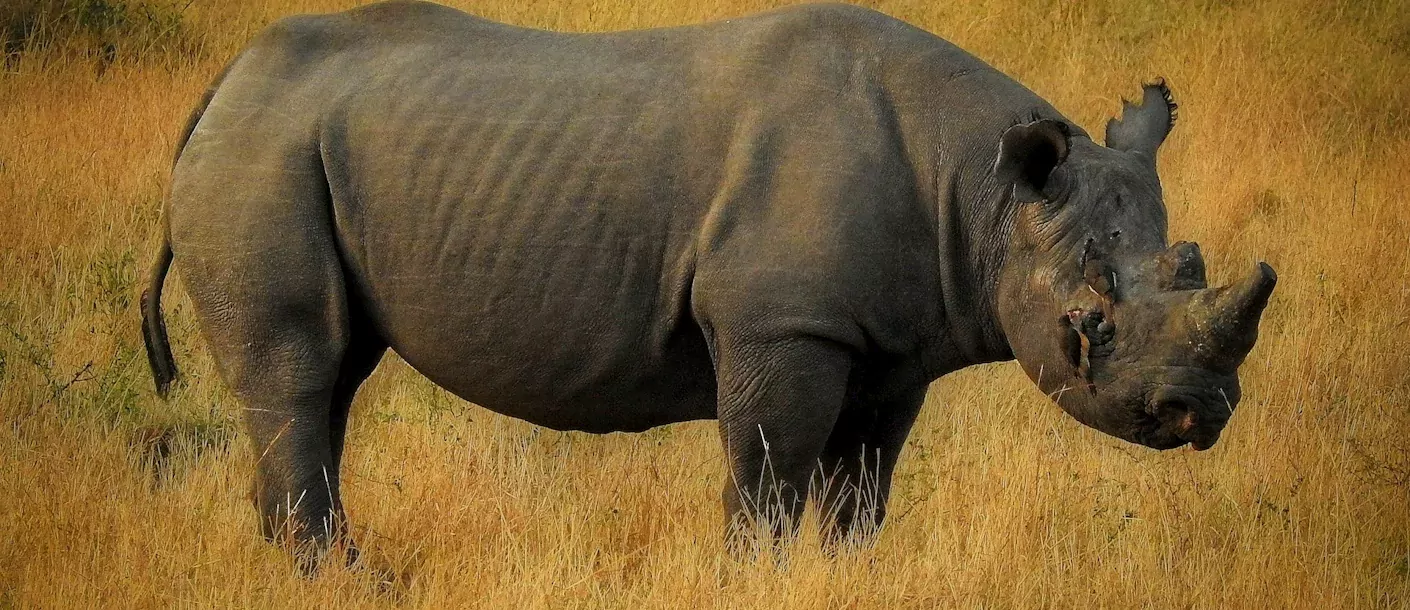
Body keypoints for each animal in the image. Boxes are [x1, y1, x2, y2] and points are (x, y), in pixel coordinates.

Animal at [143, 1, 1280, 555]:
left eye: (1189, 266)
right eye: (1087, 319)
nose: (1202, 411)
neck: (988, 193)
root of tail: (225, 82)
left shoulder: (891, 345)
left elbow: (860, 491)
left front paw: (844, 577)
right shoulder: (786, 323)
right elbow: (768, 476)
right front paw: (758, 576)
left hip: (295, 145)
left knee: (331, 380)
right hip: (265, 151)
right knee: (298, 372)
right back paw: (331, 571)